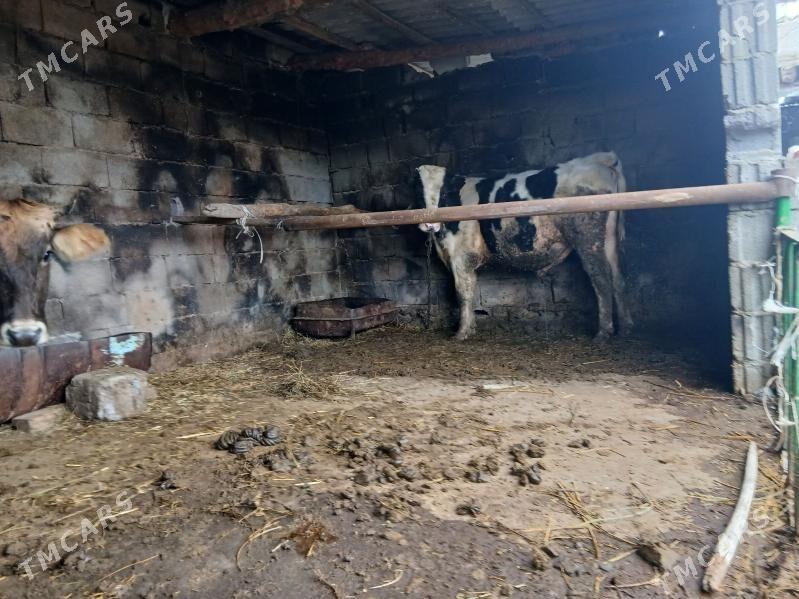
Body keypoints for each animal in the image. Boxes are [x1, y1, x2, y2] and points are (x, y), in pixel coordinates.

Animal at [417, 151, 633, 341]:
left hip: (588, 236)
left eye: (444, 193)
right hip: (608, 239)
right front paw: (471, 328)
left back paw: (603, 332)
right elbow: (471, 290)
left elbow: (463, 294)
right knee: (618, 277)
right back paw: (625, 327)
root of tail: (599, 159)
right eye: (417, 191)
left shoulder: (462, 257)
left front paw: (461, 333)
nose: (429, 224)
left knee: (601, 277)